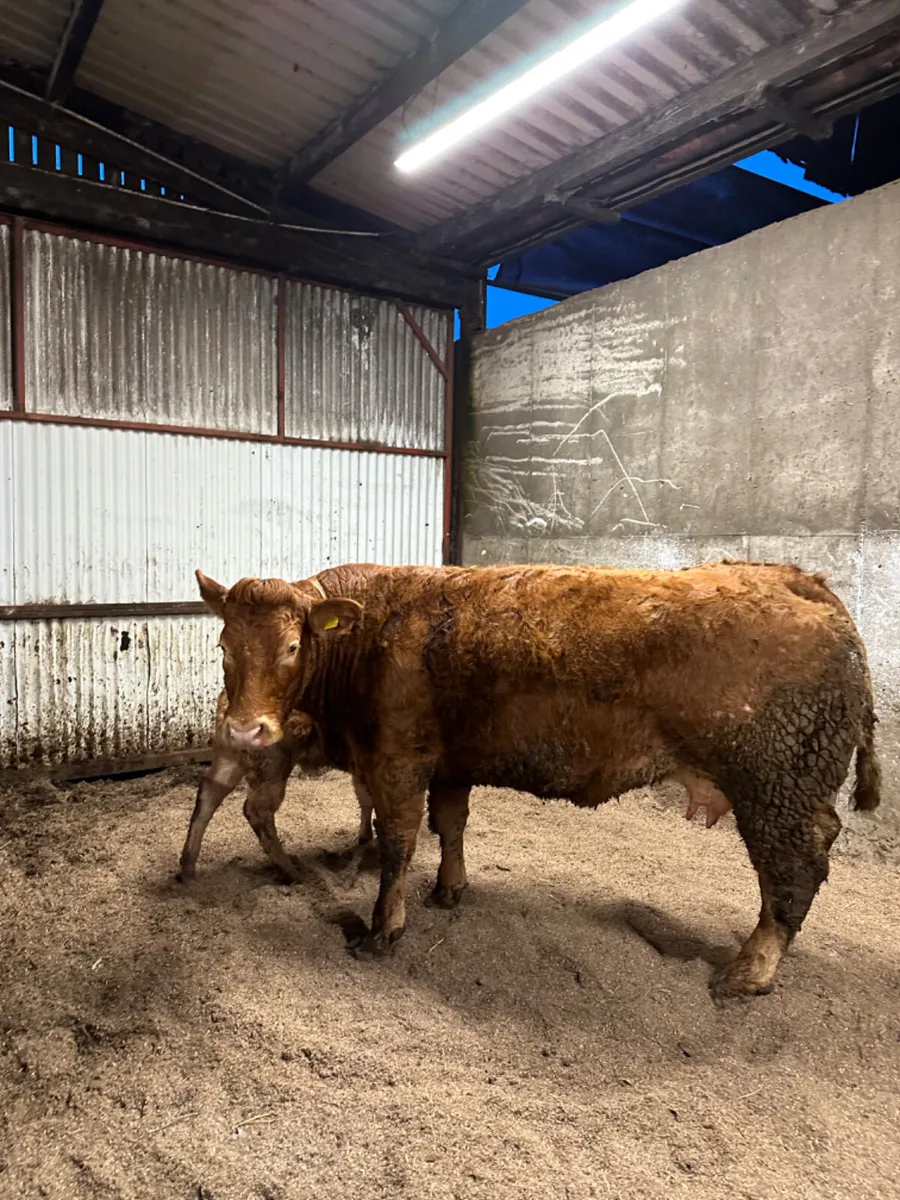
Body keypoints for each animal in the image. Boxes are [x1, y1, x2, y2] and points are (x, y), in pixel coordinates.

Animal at [194, 560, 881, 1001]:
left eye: (292, 647)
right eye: (224, 643)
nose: (247, 730)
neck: (372, 636)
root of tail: (796, 577)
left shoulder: (395, 760)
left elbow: (397, 844)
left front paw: (384, 929)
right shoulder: (450, 762)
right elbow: (450, 825)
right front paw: (450, 890)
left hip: (778, 784)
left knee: (792, 869)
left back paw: (748, 973)